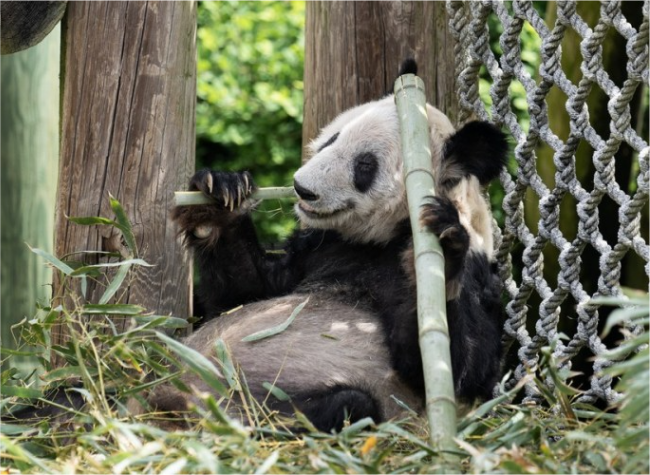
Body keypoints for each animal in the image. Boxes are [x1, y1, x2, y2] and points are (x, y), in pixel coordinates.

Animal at [164, 64, 508, 432]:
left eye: (365, 165)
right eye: (333, 139)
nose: (302, 188)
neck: (382, 237)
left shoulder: (476, 273)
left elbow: (459, 368)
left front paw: (442, 250)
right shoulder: (321, 247)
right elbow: (244, 293)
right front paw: (219, 195)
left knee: (348, 405)